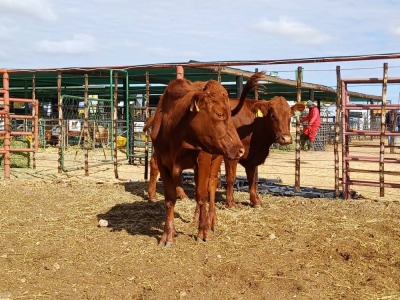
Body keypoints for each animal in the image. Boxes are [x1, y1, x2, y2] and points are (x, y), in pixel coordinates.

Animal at [149, 76, 247, 245]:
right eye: (219, 114)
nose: (241, 150)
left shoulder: (203, 159)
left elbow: (202, 195)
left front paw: (203, 230)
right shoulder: (163, 163)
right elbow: (170, 199)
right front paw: (168, 234)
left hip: (216, 158)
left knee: (211, 187)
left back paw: (211, 220)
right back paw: (196, 217)